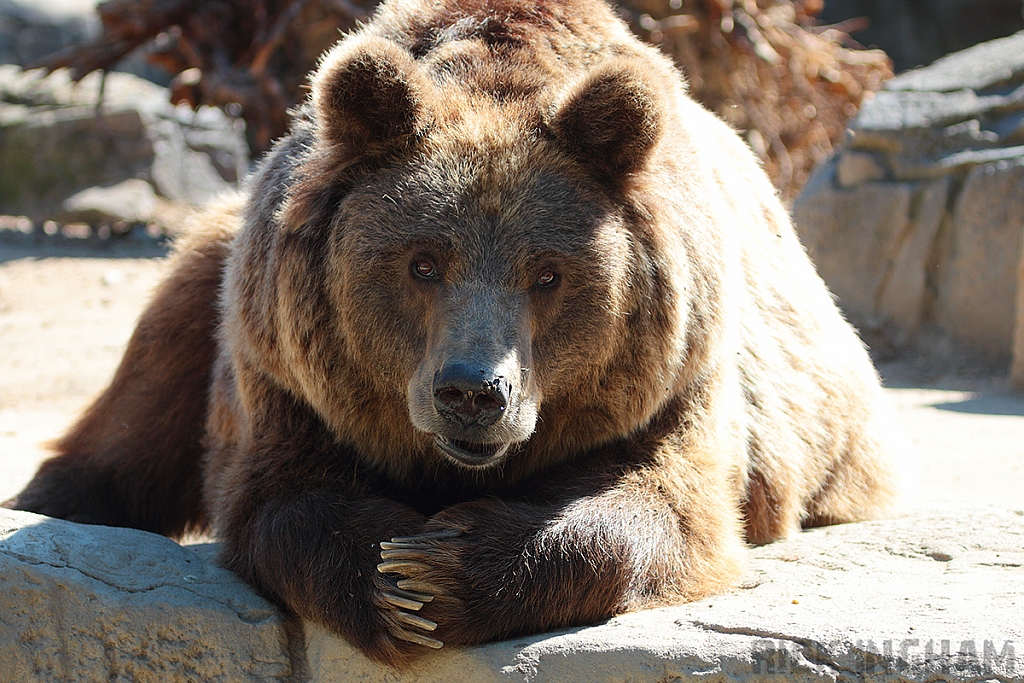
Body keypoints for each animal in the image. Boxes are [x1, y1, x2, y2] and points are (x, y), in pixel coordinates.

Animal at [9, 0, 897, 667]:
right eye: (423, 261)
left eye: (548, 273)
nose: (472, 391)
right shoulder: (285, 370)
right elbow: (277, 499)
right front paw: (395, 577)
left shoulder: (675, 378)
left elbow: (665, 505)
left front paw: (442, 570)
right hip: (214, 262)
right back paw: (48, 498)